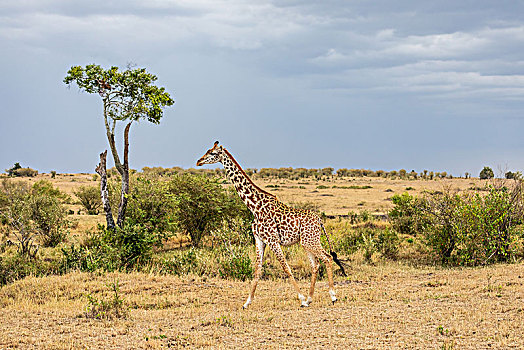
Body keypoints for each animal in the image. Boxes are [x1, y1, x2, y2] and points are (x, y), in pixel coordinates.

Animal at [196, 141, 344, 308]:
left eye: (212, 153)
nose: (199, 161)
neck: (255, 206)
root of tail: (319, 220)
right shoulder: (259, 239)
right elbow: (257, 270)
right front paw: (247, 302)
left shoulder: (273, 240)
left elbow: (286, 267)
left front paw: (300, 298)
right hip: (306, 242)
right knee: (316, 265)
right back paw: (310, 299)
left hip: (310, 241)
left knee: (327, 258)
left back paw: (332, 296)